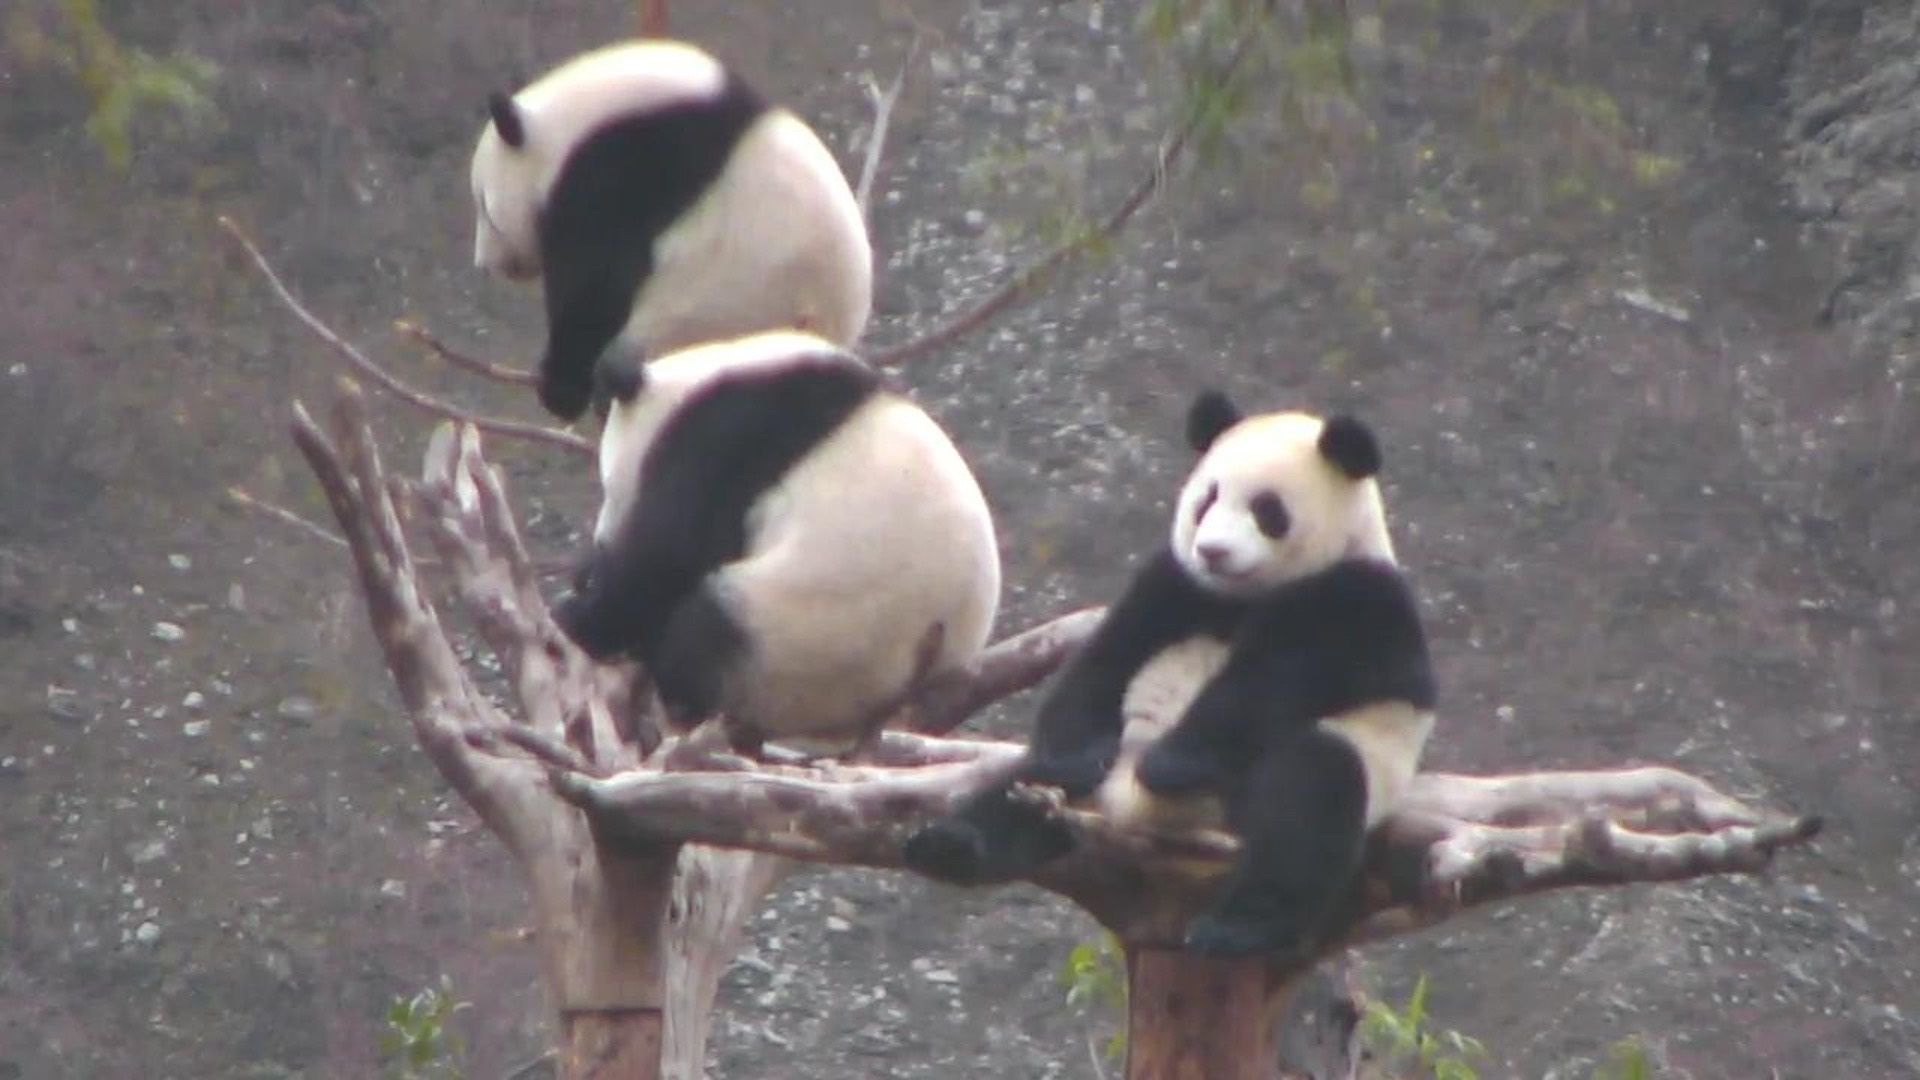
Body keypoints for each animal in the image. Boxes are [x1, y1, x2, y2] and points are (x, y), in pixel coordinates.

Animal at [470, 39, 873, 422]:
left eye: (486, 209)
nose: (484, 264)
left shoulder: (619, 170)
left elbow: (595, 284)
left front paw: (561, 386)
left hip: (728, 306)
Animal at [552, 329, 1001, 755]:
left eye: (608, 486)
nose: (599, 544)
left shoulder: (727, 437)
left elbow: (662, 559)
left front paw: (577, 612)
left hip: (811, 642)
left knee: (708, 625)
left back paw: (684, 700)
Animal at [903, 390, 1435, 959]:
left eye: (1266, 509)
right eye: (1207, 499)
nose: (1213, 550)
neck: (1242, 595)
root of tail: (1139, 818)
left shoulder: (1358, 601)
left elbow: (1271, 682)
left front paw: (1171, 762)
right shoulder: (1175, 583)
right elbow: (1106, 660)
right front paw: (1075, 753)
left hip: (1336, 768)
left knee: (1307, 796)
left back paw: (1238, 926)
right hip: (1094, 785)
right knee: (1024, 787)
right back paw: (954, 844)